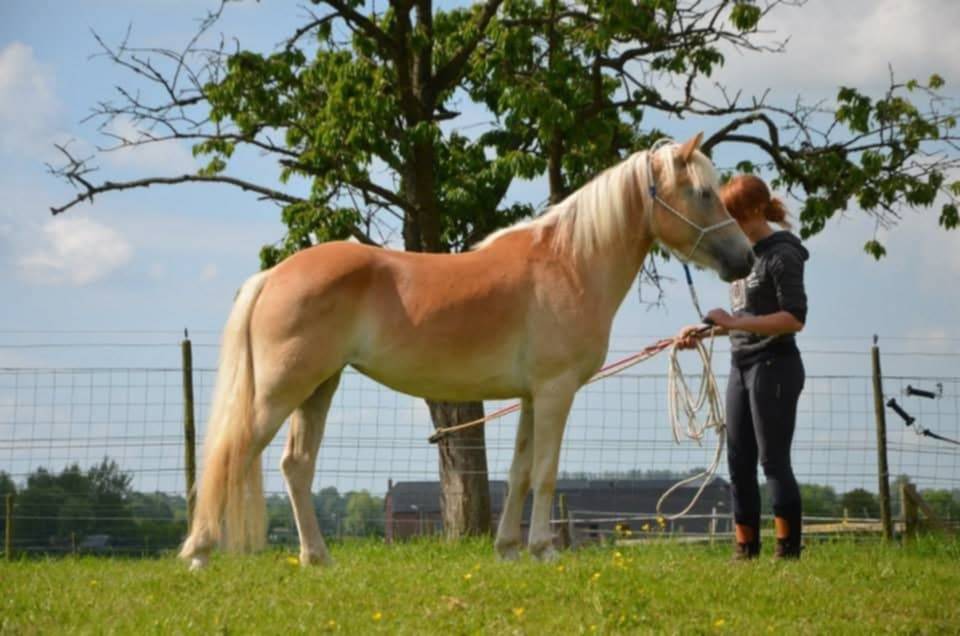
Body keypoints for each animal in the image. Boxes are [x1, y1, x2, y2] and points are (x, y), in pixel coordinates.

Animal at [179, 133, 755, 569]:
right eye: (703, 192)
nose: (744, 259)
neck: (569, 261)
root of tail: (274, 274)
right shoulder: (556, 390)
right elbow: (545, 471)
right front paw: (544, 550)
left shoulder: (531, 396)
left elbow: (520, 472)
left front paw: (509, 550)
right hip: (283, 390)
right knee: (233, 453)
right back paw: (200, 553)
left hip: (319, 387)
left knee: (296, 466)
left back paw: (316, 559)